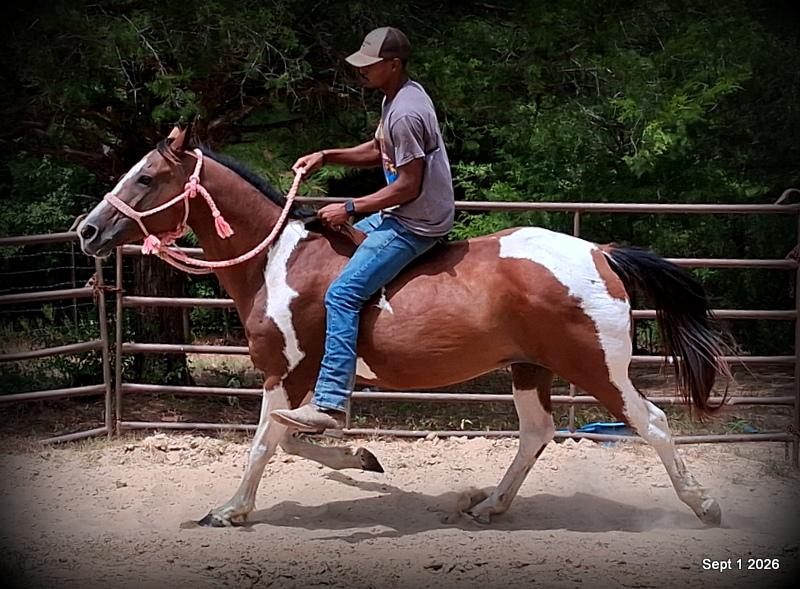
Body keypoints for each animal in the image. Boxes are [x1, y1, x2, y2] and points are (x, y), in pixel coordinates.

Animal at [79, 128, 730, 528]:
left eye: (145, 178)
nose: (88, 229)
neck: (278, 260)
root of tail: (600, 252)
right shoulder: (291, 378)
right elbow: (286, 440)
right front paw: (362, 459)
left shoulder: (288, 372)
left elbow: (269, 441)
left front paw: (231, 510)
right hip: (529, 368)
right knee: (537, 433)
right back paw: (489, 506)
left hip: (596, 368)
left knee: (653, 423)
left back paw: (704, 506)